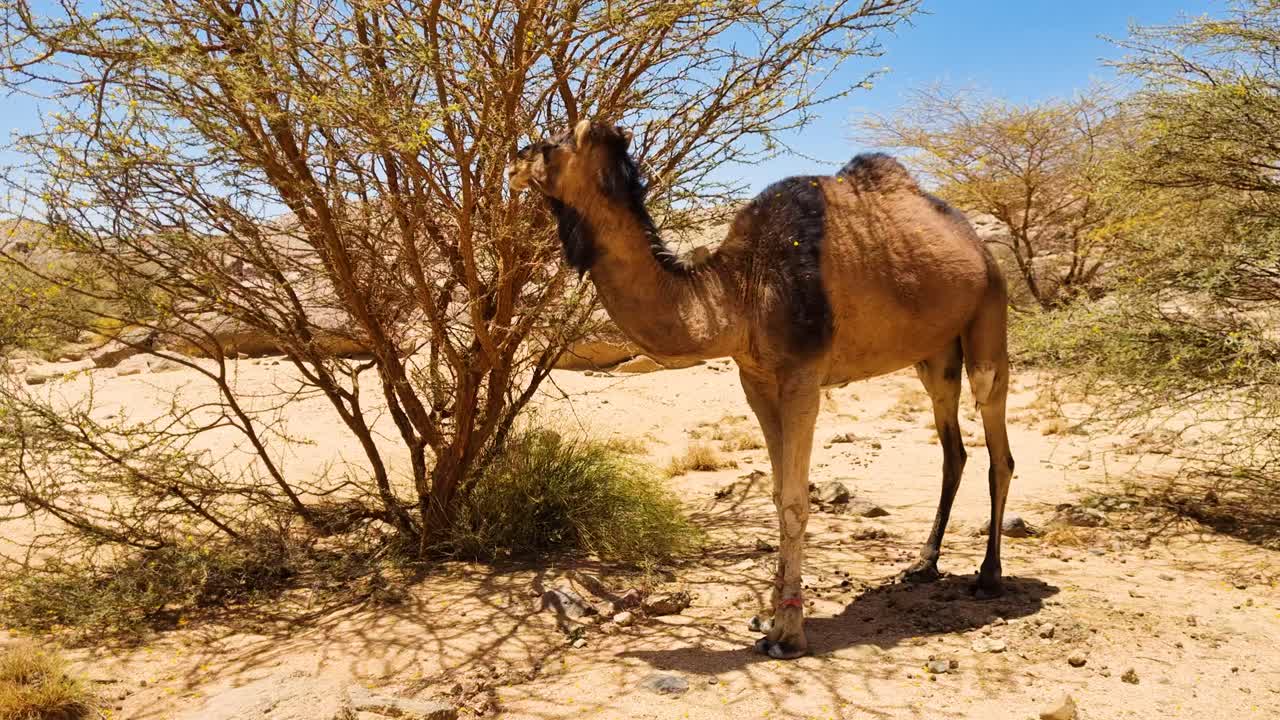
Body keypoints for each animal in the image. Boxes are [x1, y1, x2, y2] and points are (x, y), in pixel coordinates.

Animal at [506, 121, 1015, 659]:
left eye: (551, 145)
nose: (513, 160)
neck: (738, 290)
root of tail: (978, 247)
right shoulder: (755, 379)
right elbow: (775, 493)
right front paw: (769, 619)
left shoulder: (802, 378)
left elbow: (795, 500)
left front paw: (789, 635)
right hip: (935, 353)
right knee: (952, 448)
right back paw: (923, 564)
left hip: (989, 310)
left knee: (997, 440)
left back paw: (989, 575)